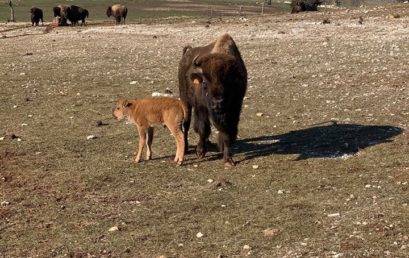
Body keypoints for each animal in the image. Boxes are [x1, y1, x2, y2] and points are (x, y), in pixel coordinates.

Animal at [178, 33, 247, 167]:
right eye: (205, 83)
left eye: (227, 82)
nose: (217, 104)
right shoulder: (202, 108)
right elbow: (203, 129)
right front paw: (200, 152)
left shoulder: (234, 109)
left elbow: (227, 133)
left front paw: (228, 159)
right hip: (185, 101)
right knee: (186, 124)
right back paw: (186, 148)